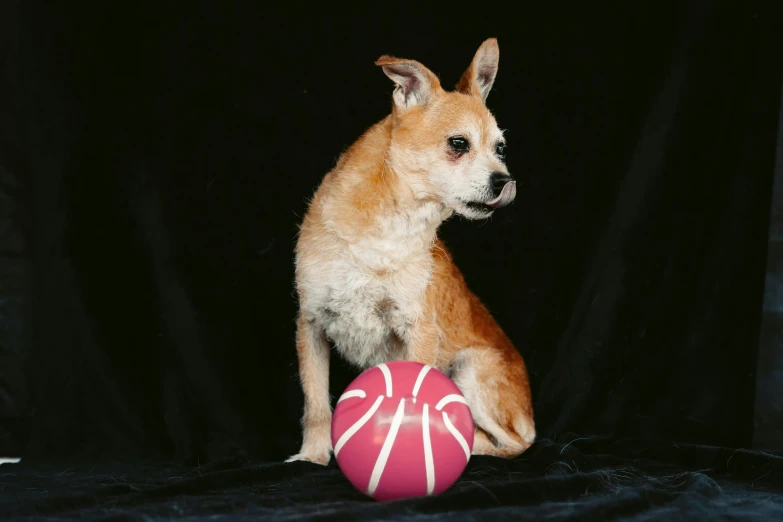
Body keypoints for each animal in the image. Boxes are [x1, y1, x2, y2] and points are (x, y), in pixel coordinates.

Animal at [288, 39, 540, 464]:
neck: (388, 229)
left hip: (470, 368)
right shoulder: (311, 325)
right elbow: (316, 402)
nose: (505, 181)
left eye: (500, 148)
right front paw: (313, 456)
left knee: (512, 443)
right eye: (459, 144)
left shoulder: (417, 331)